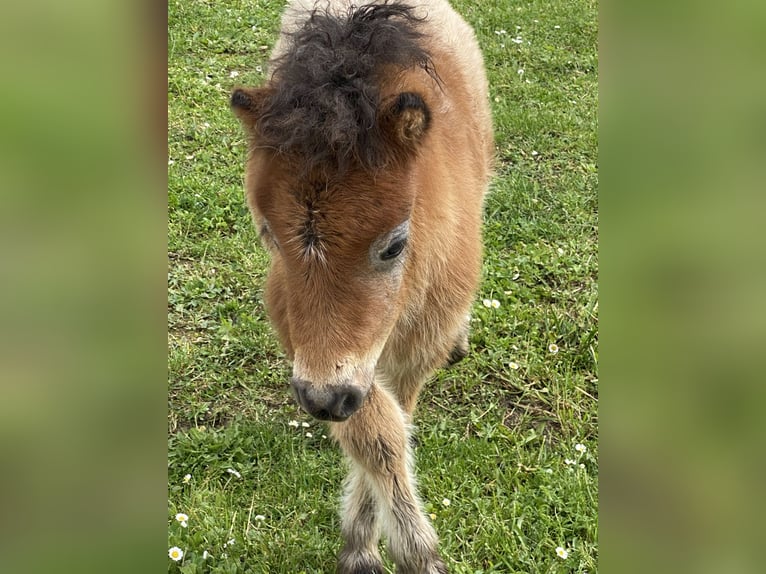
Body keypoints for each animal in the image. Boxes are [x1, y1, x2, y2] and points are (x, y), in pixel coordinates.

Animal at [231, 2, 492, 572]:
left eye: (395, 245)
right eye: (267, 235)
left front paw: (410, 551)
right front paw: (369, 547)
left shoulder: (413, 344)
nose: (322, 401)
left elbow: (394, 426)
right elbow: (376, 435)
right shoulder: (316, 348)